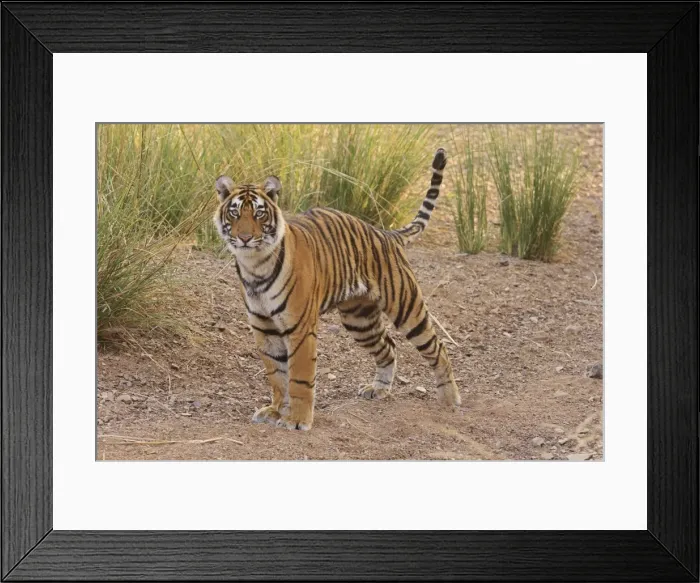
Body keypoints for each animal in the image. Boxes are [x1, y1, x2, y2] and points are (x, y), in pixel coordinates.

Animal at [214, 148, 461, 431]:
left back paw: (450, 399)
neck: (255, 265)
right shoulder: (263, 327)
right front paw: (276, 411)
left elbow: (299, 376)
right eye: (234, 213)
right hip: (360, 320)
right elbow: (277, 375)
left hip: (406, 307)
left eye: (259, 214)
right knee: (388, 347)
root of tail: (385, 234)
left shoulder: (300, 328)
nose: (244, 238)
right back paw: (379, 389)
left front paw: (297, 420)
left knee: (437, 347)